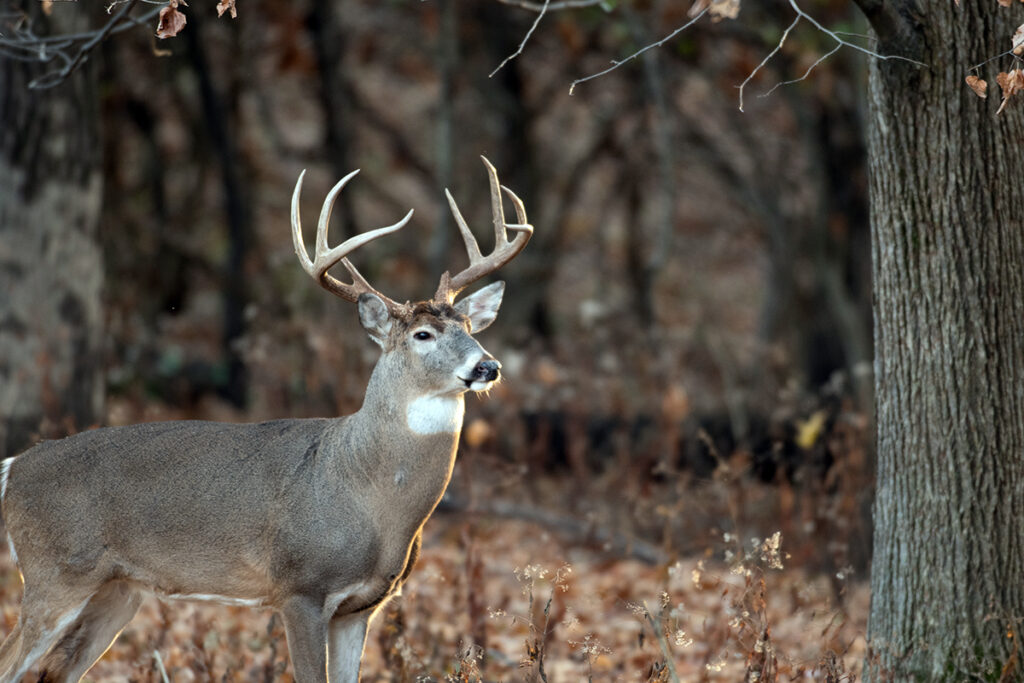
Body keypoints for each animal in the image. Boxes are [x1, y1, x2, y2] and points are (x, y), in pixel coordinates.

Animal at [0, 156, 531, 683]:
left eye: (469, 327)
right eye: (422, 334)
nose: (487, 366)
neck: (370, 494)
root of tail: (12, 469)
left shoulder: (361, 607)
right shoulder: (300, 588)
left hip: (118, 588)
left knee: (56, 670)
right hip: (55, 573)